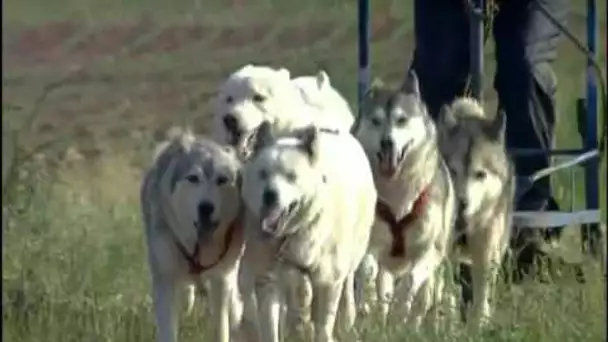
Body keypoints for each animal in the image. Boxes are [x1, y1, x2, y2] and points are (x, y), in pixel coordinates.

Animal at [141, 130, 246, 340]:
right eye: (193, 178)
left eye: (222, 180)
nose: (205, 208)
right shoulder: (165, 280)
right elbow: (167, 331)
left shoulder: (221, 279)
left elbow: (221, 327)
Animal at [238, 121, 376, 340]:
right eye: (263, 174)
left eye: (291, 176)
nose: (270, 195)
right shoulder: (269, 283)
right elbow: (271, 328)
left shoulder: (329, 283)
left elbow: (324, 328)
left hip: (351, 258)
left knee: (347, 287)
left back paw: (347, 322)